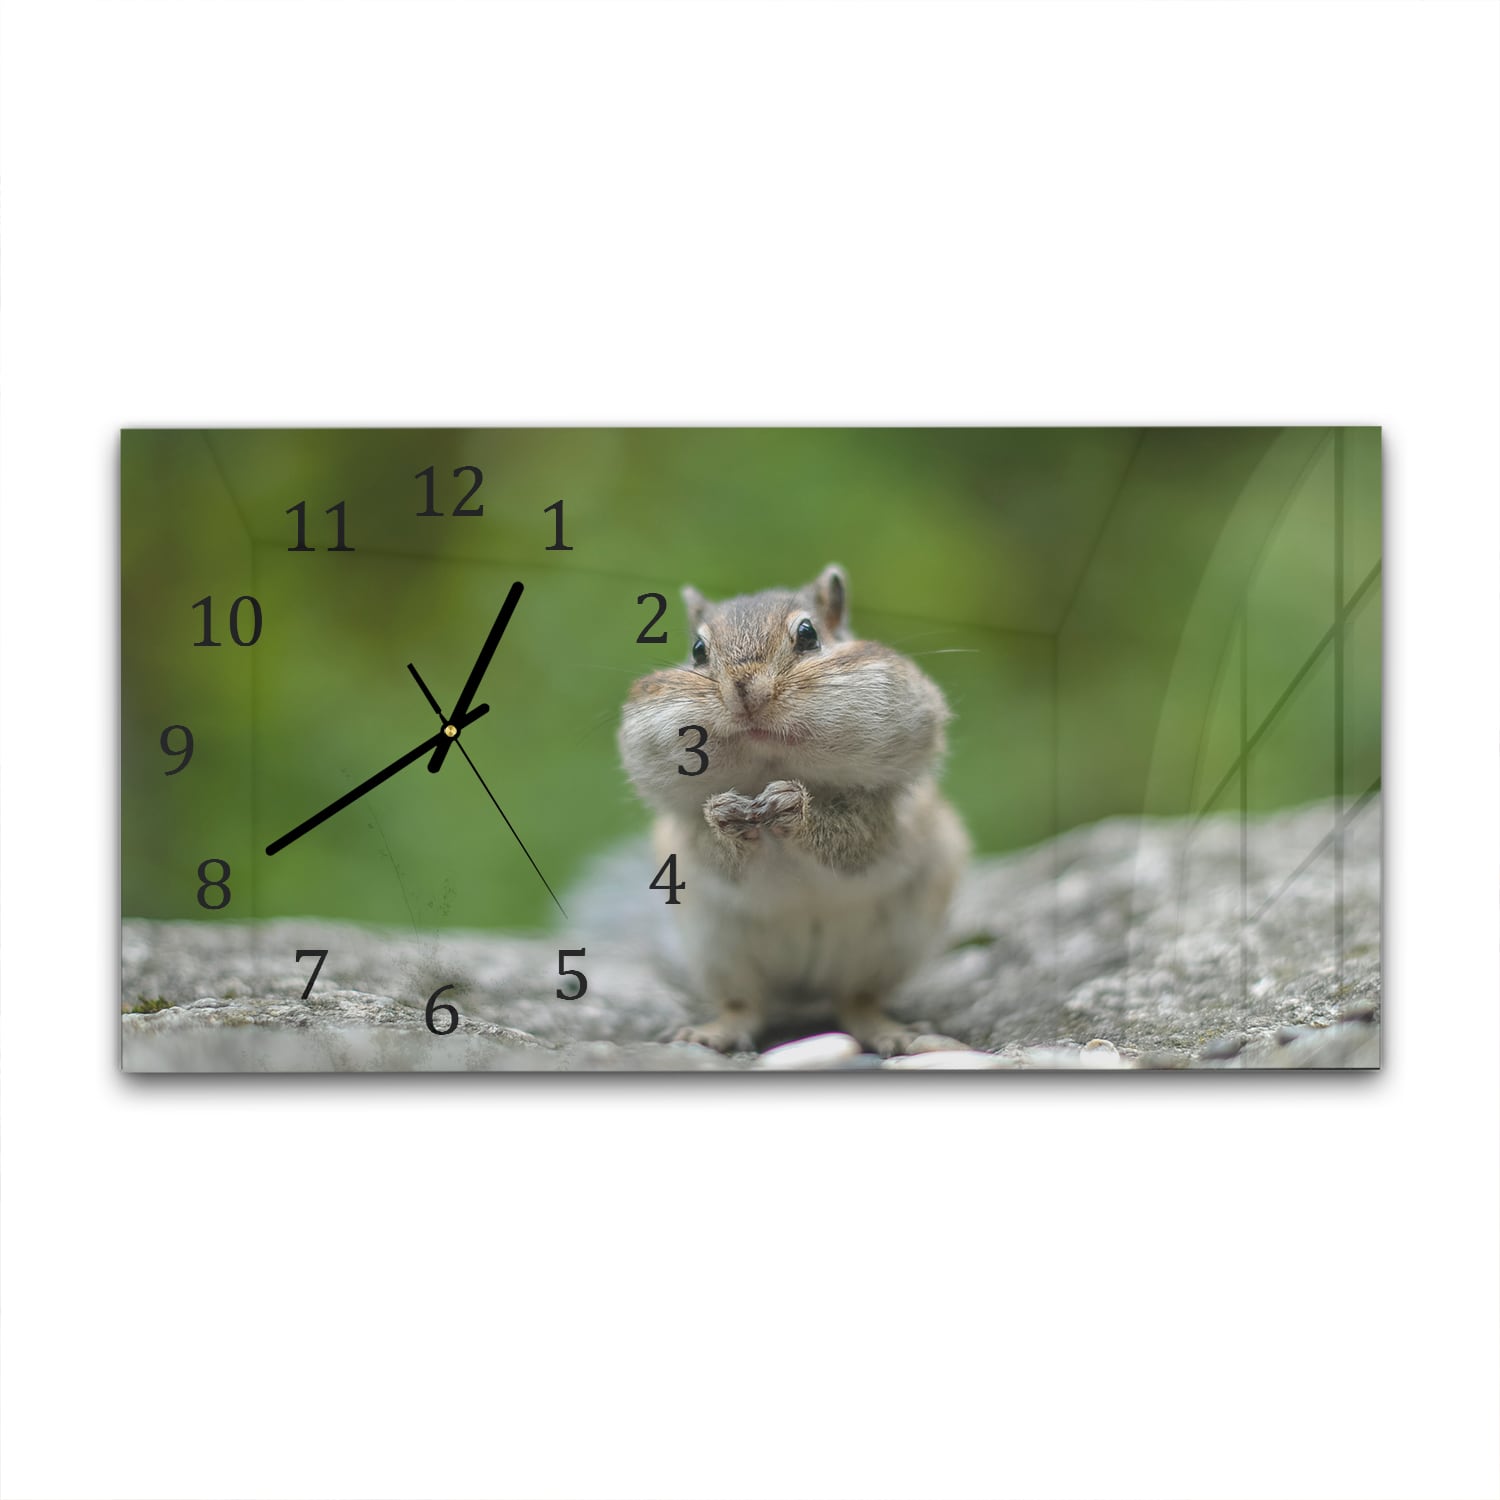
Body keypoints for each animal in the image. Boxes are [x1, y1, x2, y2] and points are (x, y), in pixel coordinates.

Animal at [617, 564, 969, 1056]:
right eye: (698, 650)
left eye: (808, 634)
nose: (744, 689)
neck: (769, 767)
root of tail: (804, 992)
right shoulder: (681, 836)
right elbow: (710, 849)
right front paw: (724, 815)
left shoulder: (886, 815)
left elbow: (854, 840)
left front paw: (793, 807)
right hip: (718, 952)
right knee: (747, 1005)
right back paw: (712, 1032)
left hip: (886, 950)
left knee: (856, 1000)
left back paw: (891, 1032)